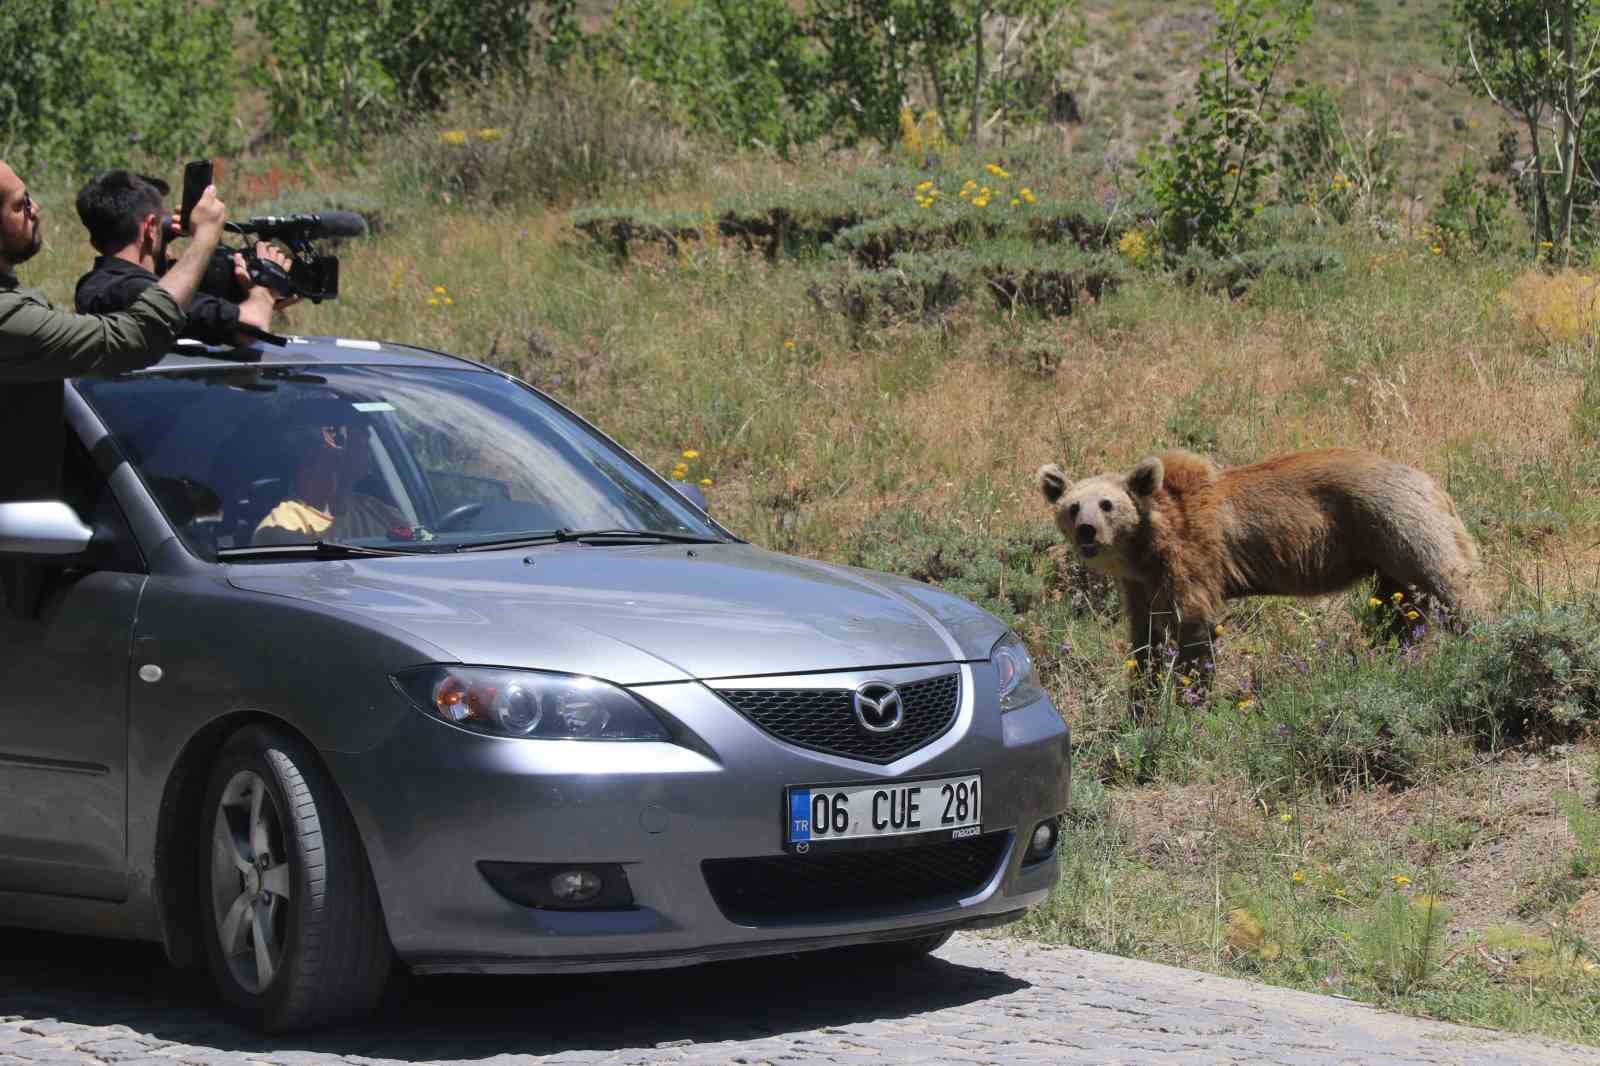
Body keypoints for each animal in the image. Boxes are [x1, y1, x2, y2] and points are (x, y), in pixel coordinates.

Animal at [1036, 448, 1472, 672]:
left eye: (1107, 504)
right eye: (1072, 506)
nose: (1087, 531)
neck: (1145, 546)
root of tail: (1429, 481)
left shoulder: (1192, 558)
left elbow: (1194, 625)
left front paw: (1191, 692)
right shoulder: (1141, 584)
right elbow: (1146, 637)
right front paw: (1143, 693)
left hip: (1399, 526)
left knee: (1448, 581)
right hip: (1385, 557)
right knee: (1400, 610)